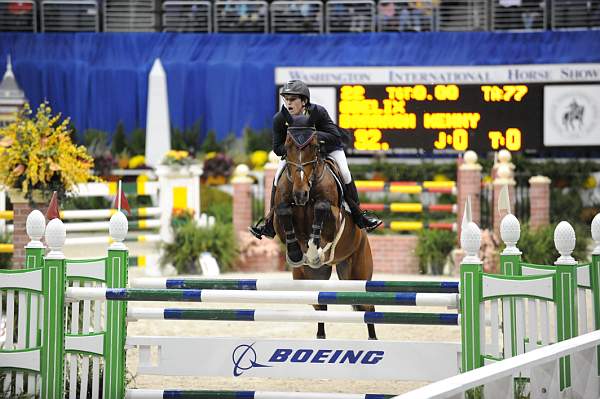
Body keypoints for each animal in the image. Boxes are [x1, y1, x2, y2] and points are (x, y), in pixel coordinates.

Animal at [272, 118, 376, 340]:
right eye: (287, 146)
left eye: (313, 146)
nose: (300, 194)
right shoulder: (278, 216)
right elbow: (284, 212)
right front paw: (296, 253)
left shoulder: (334, 217)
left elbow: (321, 208)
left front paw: (313, 250)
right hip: (311, 277)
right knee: (320, 305)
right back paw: (320, 336)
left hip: (358, 273)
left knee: (368, 307)